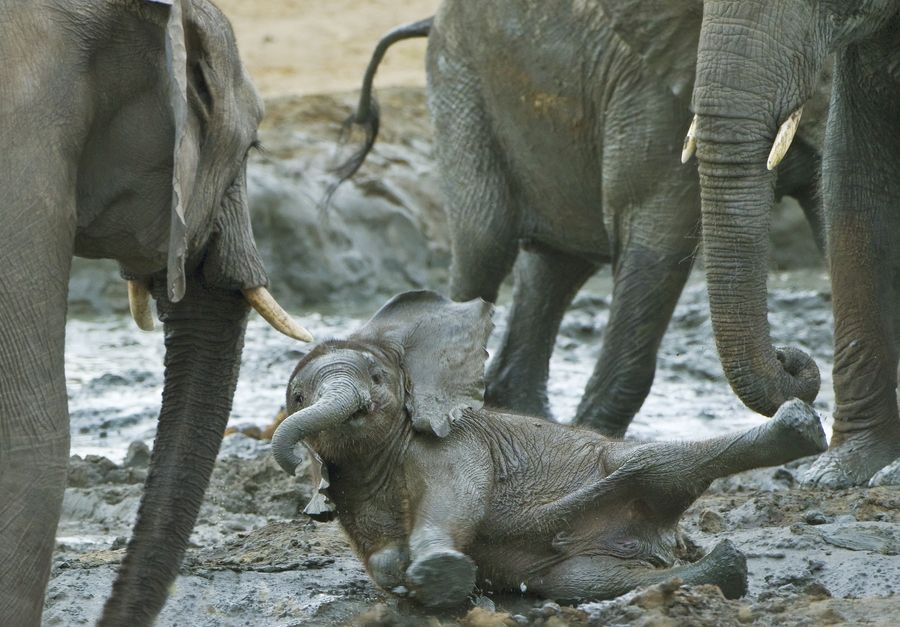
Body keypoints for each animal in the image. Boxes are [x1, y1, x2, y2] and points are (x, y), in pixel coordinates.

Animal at [271, 290, 828, 607]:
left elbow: (456, 496)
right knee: (586, 582)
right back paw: (723, 569)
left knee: (659, 464)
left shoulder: (453, 442)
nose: (294, 458)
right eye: (297, 397)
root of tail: (663, 540)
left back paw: (800, 429)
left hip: (622, 464)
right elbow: (382, 555)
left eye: (376, 376)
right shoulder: (350, 480)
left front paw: (439, 573)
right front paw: (417, 578)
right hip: (586, 567)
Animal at [331, 0, 830, 438]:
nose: (789, 356)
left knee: (555, 264)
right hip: (462, 81)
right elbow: (656, 237)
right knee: (485, 245)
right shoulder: (655, 87)